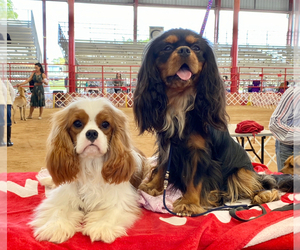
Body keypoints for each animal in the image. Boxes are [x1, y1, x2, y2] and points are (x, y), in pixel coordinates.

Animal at [29, 98, 149, 244]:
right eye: (77, 123)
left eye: (105, 124)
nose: (92, 133)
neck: (91, 164)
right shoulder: (63, 196)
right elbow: (59, 209)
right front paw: (55, 227)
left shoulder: (121, 199)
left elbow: (111, 212)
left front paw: (102, 227)